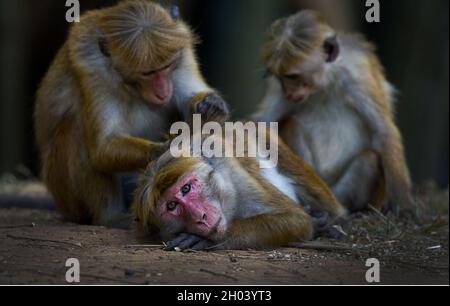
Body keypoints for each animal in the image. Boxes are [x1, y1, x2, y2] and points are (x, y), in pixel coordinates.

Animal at [34, 0, 229, 227]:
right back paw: (110, 217)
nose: (163, 90)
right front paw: (167, 149)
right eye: (147, 73)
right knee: (74, 126)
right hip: (66, 197)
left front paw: (210, 106)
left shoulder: (182, 49)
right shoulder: (91, 70)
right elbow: (103, 147)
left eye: (168, 65)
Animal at [132, 127, 346, 251]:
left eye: (186, 188)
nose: (200, 216)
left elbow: (296, 219)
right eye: (171, 205)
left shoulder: (231, 171)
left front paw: (207, 239)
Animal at [251, 10, 414, 214]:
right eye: (279, 77)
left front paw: (403, 203)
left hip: (340, 191)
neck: (325, 83)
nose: (288, 92)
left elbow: (383, 130)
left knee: (369, 160)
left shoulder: (358, 72)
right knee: (292, 125)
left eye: (292, 76)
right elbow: (263, 123)